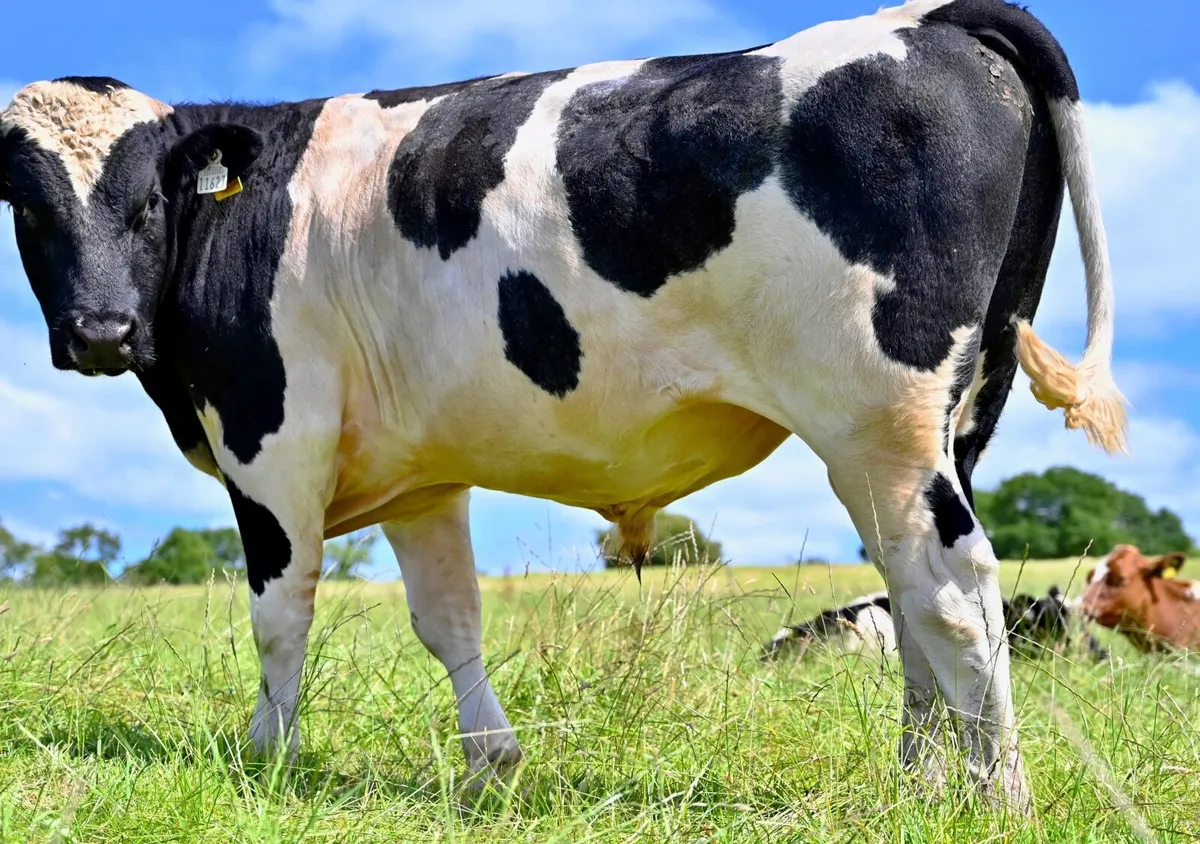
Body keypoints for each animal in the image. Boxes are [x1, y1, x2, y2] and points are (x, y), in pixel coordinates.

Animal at [0, 0, 1128, 811]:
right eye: (25, 205)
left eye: (151, 197)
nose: (101, 332)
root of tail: (931, 16)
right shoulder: (422, 475)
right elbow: (448, 617)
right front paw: (491, 766)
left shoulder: (271, 438)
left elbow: (280, 613)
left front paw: (266, 761)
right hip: (954, 414)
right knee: (909, 587)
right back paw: (917, 783)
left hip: (874, 417)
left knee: (953, 590)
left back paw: (995, 797)